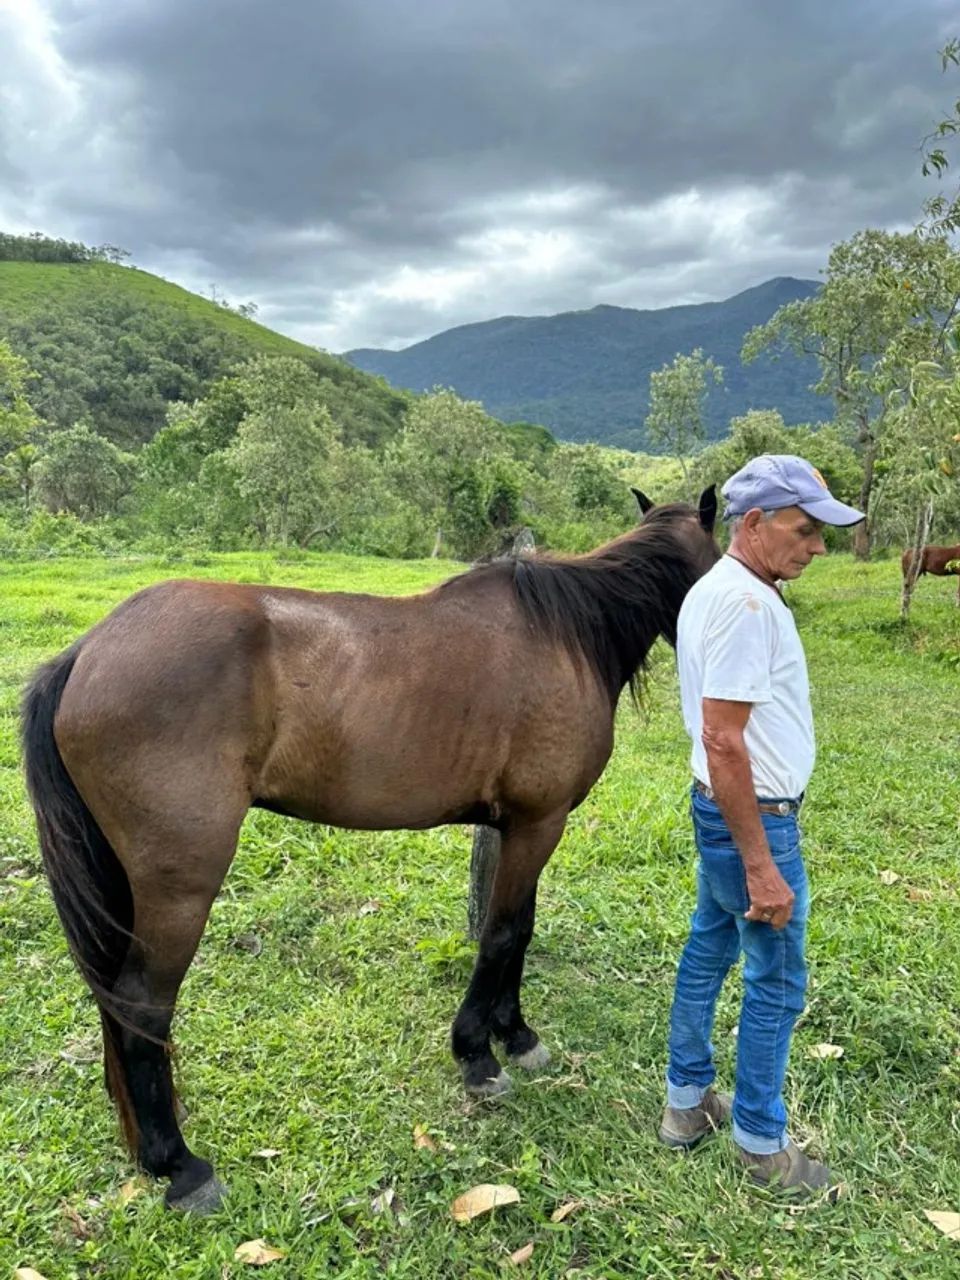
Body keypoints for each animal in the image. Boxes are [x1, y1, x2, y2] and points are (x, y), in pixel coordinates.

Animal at [21, 486, 719, 1214]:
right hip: (178, 890)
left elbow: (518, 931)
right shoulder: (538, 823)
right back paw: (181, 1165)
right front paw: (477, 1055)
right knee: (140, 1007)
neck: (567, 637)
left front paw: (517, 1036)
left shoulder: (521, 826)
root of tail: (84, 654)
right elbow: (500, 936)